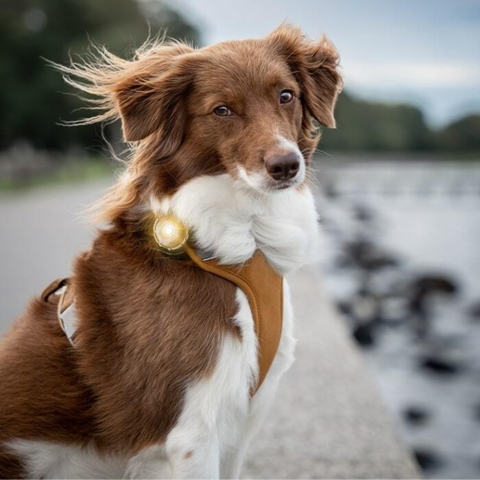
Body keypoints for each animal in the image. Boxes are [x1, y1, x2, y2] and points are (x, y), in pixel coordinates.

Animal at [0, 25, 342, 476]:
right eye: (222, 110)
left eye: (286, 95)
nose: (286, 165)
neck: (240, 243)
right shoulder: (192, 434)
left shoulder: (242, 422)